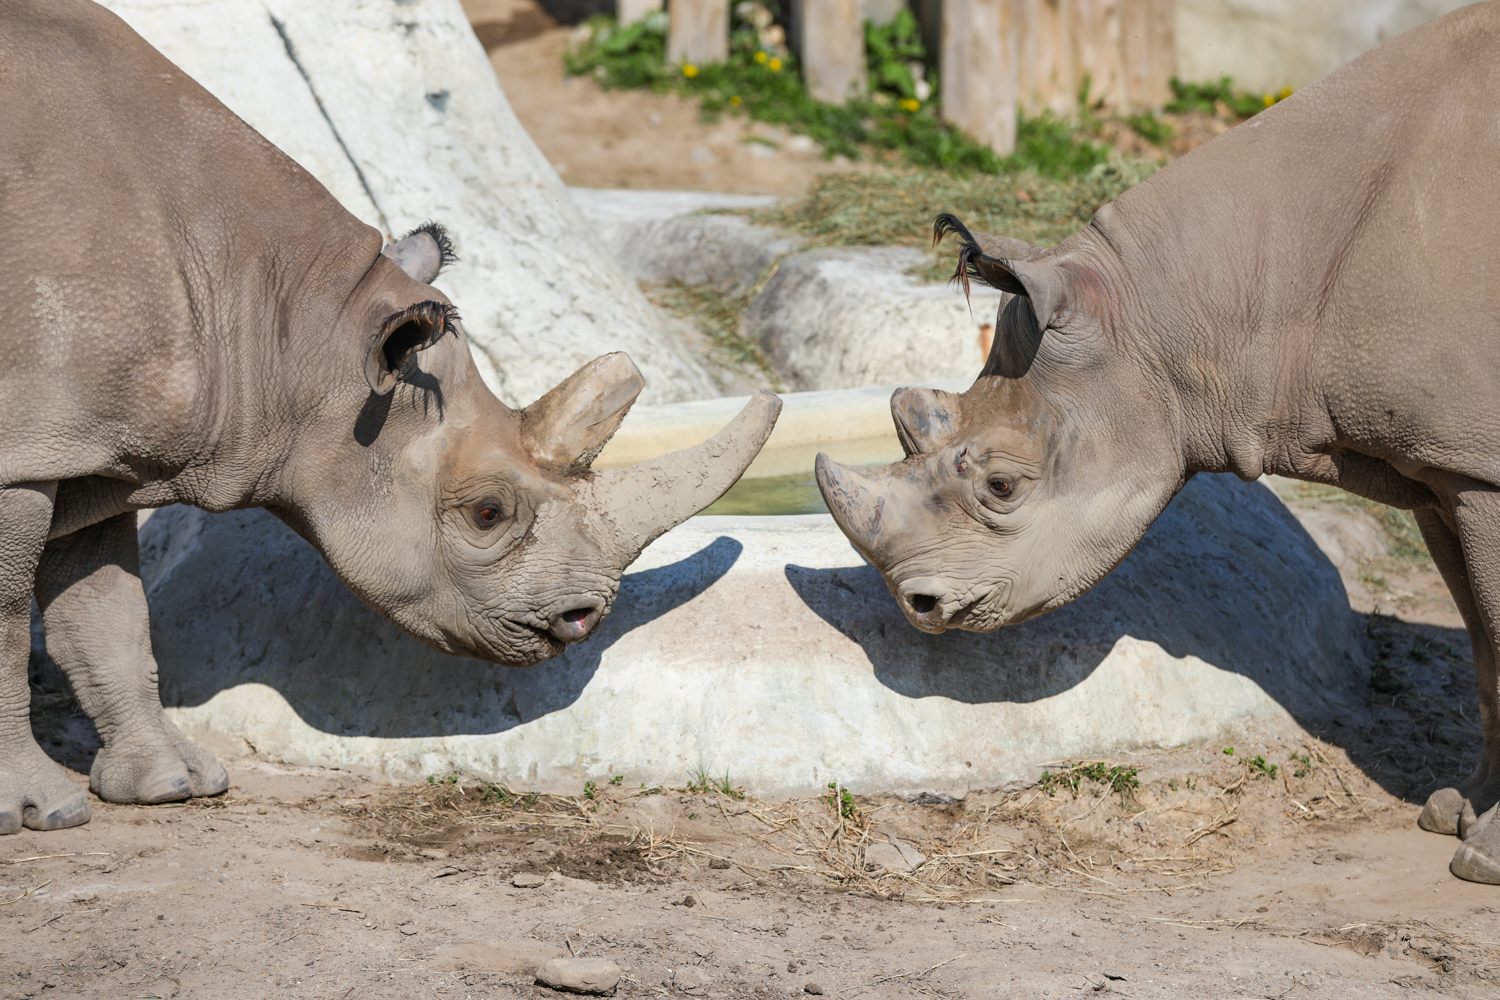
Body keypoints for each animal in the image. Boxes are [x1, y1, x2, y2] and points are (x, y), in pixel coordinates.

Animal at [2, 0, 786, 833]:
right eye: (485, 513)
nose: (583, 618)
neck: (287, 323)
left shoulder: (93, 439)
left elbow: (109, 610)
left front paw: (172, 785)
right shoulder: (28, 448)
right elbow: (12, 619)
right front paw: (41, 811)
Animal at [822, 5, 1500, 881]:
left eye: (1002, 487)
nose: (918, 608)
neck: (1188, 308)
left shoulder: (1480, 469)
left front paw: (1486, 860)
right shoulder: (1442, 464)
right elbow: (1485, 650)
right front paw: (1455, 816)